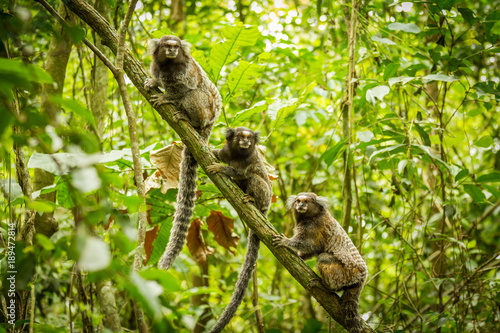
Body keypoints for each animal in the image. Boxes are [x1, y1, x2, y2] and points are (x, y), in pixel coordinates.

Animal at [145, 35, 223, 270]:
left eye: (175, 47)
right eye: (166, 46)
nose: (171, 51)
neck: (169, 65)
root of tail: (210, 124)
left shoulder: (186, 72)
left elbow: (184, 88)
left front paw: (168, 97)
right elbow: (157, 78)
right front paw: (153, 83)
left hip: (205, 111)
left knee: (194, 95)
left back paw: (187, 117)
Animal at [205, 126, 272, 332]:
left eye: (249, 138)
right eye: (241, 136)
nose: (245, 142)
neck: (238, 153)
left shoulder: (250, 160)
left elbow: (240, 172)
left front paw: (221, 168)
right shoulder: (227, 151)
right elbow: (220, 155)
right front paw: (212, 152)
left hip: (265, 196)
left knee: (254, 178)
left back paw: (252, 199)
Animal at [274, 192, 368, 332]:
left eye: (306, 201)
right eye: (298, 201)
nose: (301, 205)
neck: (312, 216)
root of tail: (363, 275)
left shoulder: (315, 226)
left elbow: (309, 243)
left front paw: (286, 242)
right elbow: (313, 249)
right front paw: (300, 256)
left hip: (347, 273)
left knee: (323, 258)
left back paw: (325, 286)